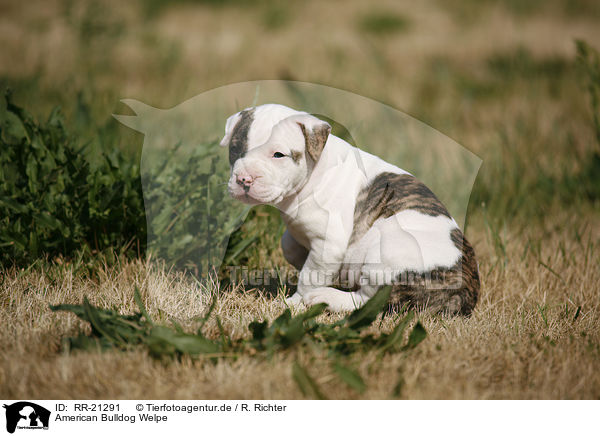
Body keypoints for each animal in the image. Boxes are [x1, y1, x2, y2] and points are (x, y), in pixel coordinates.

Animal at [220, 103, 478, 314]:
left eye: (278, 154)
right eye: (234, 150)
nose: (244, 179)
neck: (316, 169)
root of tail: (465, 292)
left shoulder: (329, 244)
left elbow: (310, 275)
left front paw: (295, 301)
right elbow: (289, 246)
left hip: (387, 252)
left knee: (367, 302)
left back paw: (326, 298)